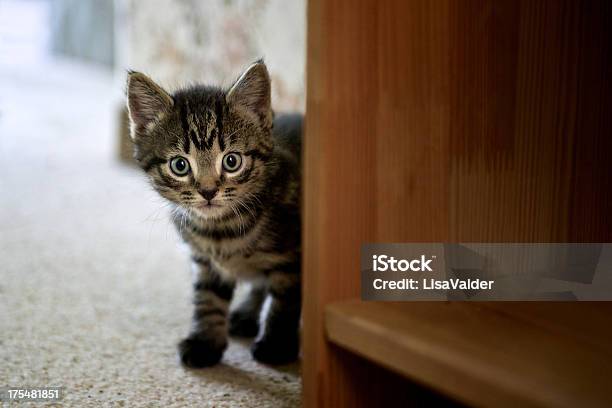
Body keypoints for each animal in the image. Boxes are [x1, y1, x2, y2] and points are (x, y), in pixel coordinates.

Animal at [126, 62, 302, 368]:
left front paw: (276, 345)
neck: (221, 229)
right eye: (180, 165)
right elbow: (207, 299)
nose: (208, 191)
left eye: (231, 161)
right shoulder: (204, 260)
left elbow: (283, 301)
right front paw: (205, 342)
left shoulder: (291, 257)